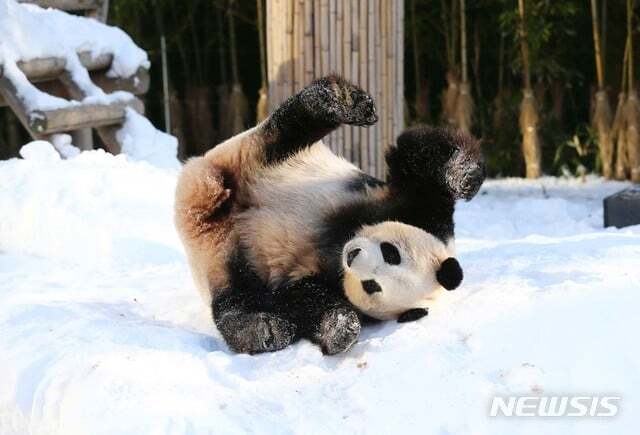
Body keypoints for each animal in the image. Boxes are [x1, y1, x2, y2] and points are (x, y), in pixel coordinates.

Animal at [175, 74, 484, 354]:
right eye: (391, 252)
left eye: (373, 286)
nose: (354, 256)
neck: (340, 243)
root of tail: (200, 206)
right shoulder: (418, 211)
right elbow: (416, 159)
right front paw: (464, 175)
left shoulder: (321, 281)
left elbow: (302, 299)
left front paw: (341, 329)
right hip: (254, 160)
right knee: (286, 129)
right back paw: (342, 101)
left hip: (228, 261)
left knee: (236, 298)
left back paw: (263, 329)